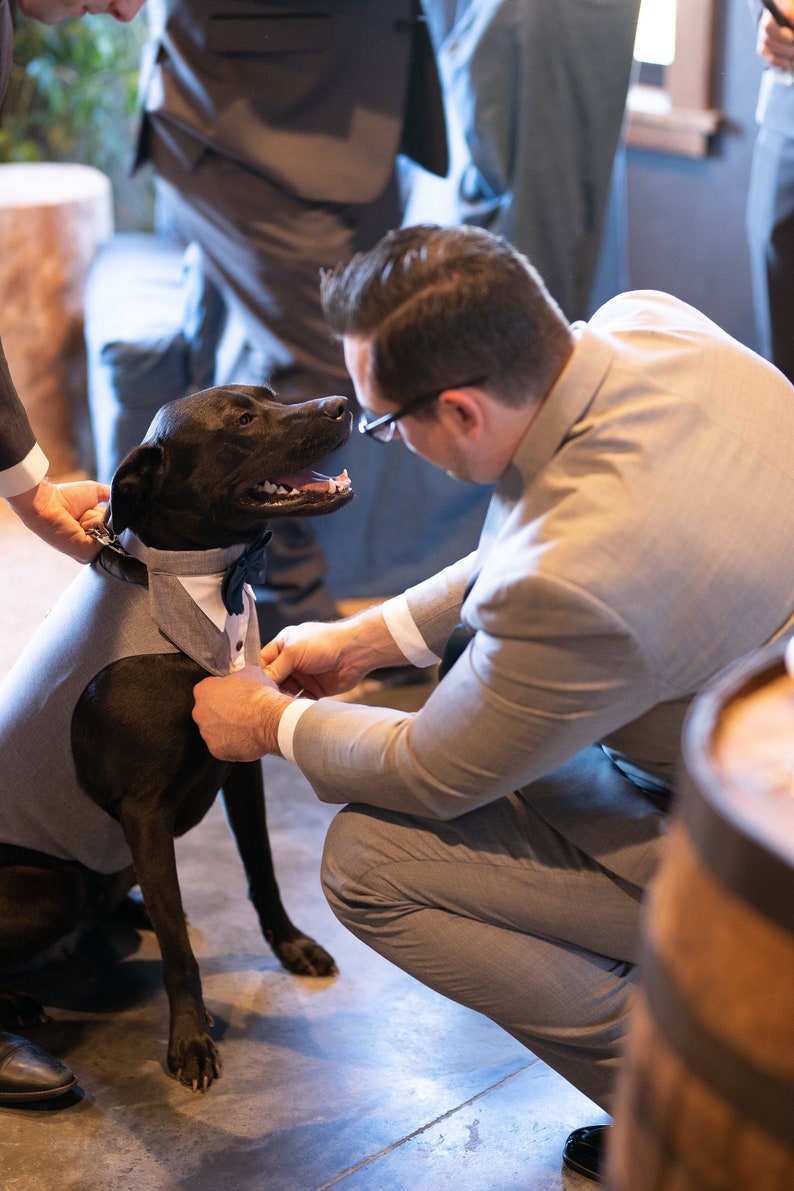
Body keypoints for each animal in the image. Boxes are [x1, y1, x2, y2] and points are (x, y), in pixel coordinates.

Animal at [0, 385, 349, 1090]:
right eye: (243, 420)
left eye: (272, 395)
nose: (342, 405)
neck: (193, 587)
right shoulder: (144, 810)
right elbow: (180, 957)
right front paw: (189, 1039)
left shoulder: (240, 768)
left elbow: (262, 870)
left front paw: (291, 944)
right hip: (49, 888)